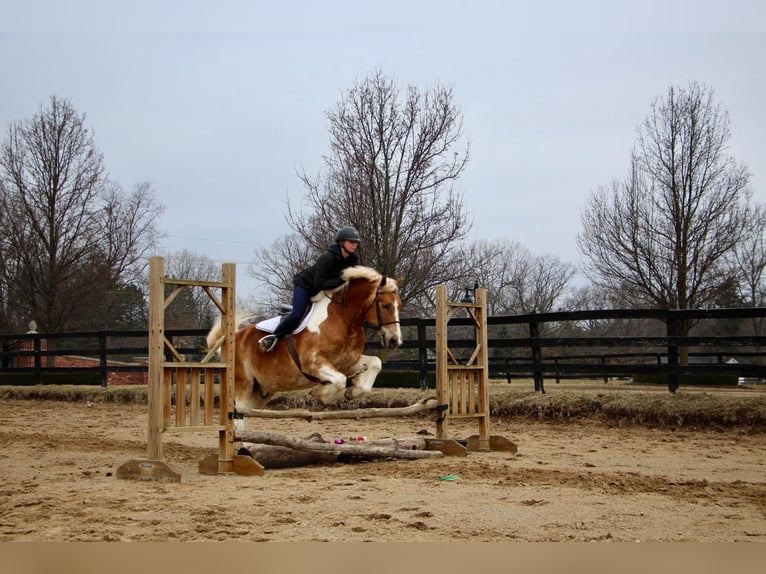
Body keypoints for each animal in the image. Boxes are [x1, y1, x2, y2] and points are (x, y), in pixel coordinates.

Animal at [204, 268, 408, 412]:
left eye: (400, 305)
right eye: (386, 305)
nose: (394, 341)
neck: (342, 318)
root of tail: (233, 340)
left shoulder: (347, 363)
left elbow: (375, 363)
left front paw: (354, 391)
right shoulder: (313, 363)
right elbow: (340, 380)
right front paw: (320, 393)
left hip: (261, 391)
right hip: (243, 386)